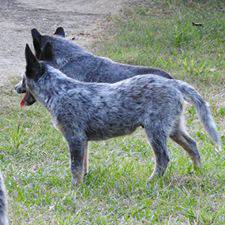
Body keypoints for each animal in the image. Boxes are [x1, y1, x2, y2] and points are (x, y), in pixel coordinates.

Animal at [21, 43, 221, 185]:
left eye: (23, 78)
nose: (16, 87)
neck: (58, 90)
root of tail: (174, 83)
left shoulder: (75, 138)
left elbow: (75, 168)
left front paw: (75, 188)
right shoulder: (83, 141)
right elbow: (84, 164)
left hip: (155, 130)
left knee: (163, 158)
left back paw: (152, 181)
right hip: (173, 127)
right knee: (192, 145)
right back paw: (198, 171)